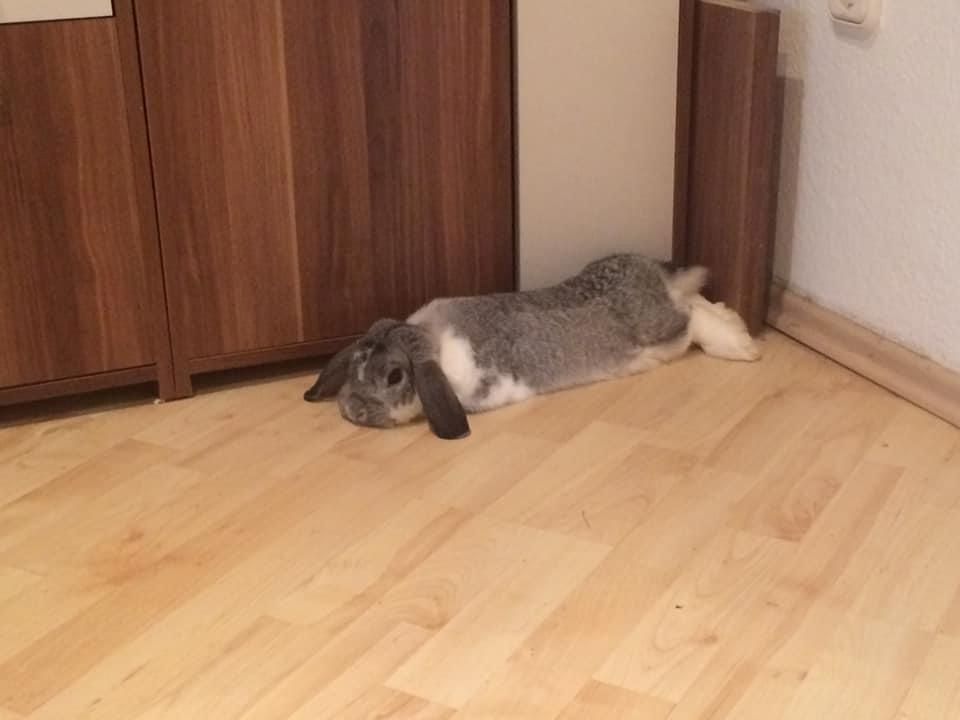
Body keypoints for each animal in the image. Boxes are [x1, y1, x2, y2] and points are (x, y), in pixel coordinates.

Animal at [303, 253, 760, 439]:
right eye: (355, 366)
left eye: (395, 376)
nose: (353, 411)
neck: (432, 340)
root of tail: (650, 269)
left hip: (663, 332)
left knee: (692, 315)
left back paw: (741, 346)